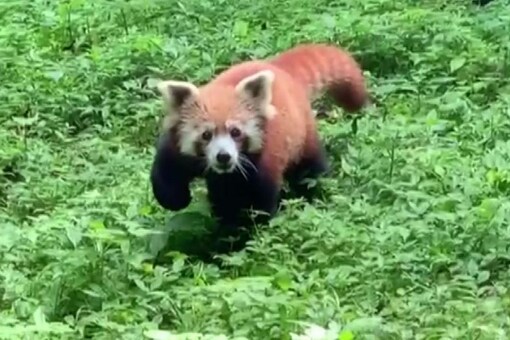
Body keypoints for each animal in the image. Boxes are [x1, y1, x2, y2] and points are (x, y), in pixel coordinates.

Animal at [149, 43, 368, 242]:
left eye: (235, 132)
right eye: (206, 135)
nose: (223, 156)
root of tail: (278, 68)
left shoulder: (262, 161)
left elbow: (256, 205)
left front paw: (246, 234)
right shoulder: (178, 150)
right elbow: (166, 172)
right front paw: (176, 199)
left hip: (303, 135)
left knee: (310, 171)